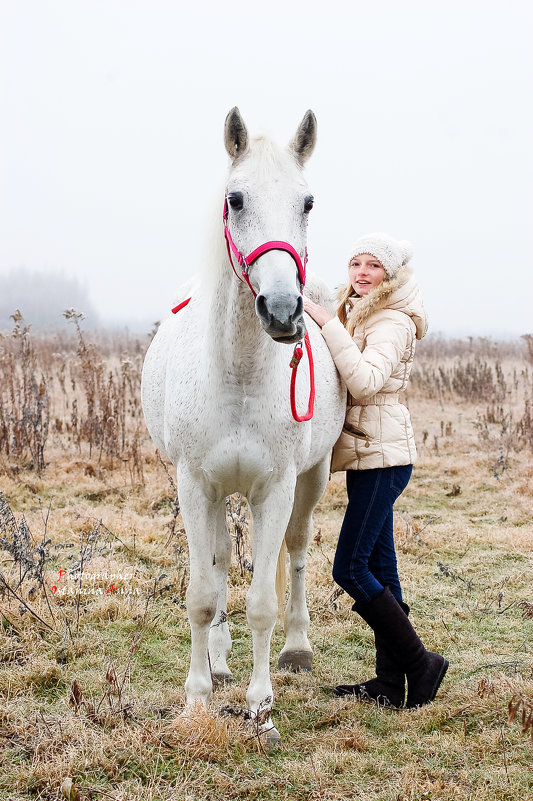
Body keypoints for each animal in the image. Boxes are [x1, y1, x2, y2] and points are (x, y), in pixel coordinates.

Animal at [139, 106, 342, 744]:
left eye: (308, 202)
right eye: (235, 199)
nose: (281, 311)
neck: (238, 377)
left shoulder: (275, 487)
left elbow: (262, 602)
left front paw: (262, 707)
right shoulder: (195, 485)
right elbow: (203, 593)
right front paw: (198, 697)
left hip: (311, 479)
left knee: (296, 551)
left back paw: (296, 648)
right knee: (223, 561)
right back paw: (220, 659)